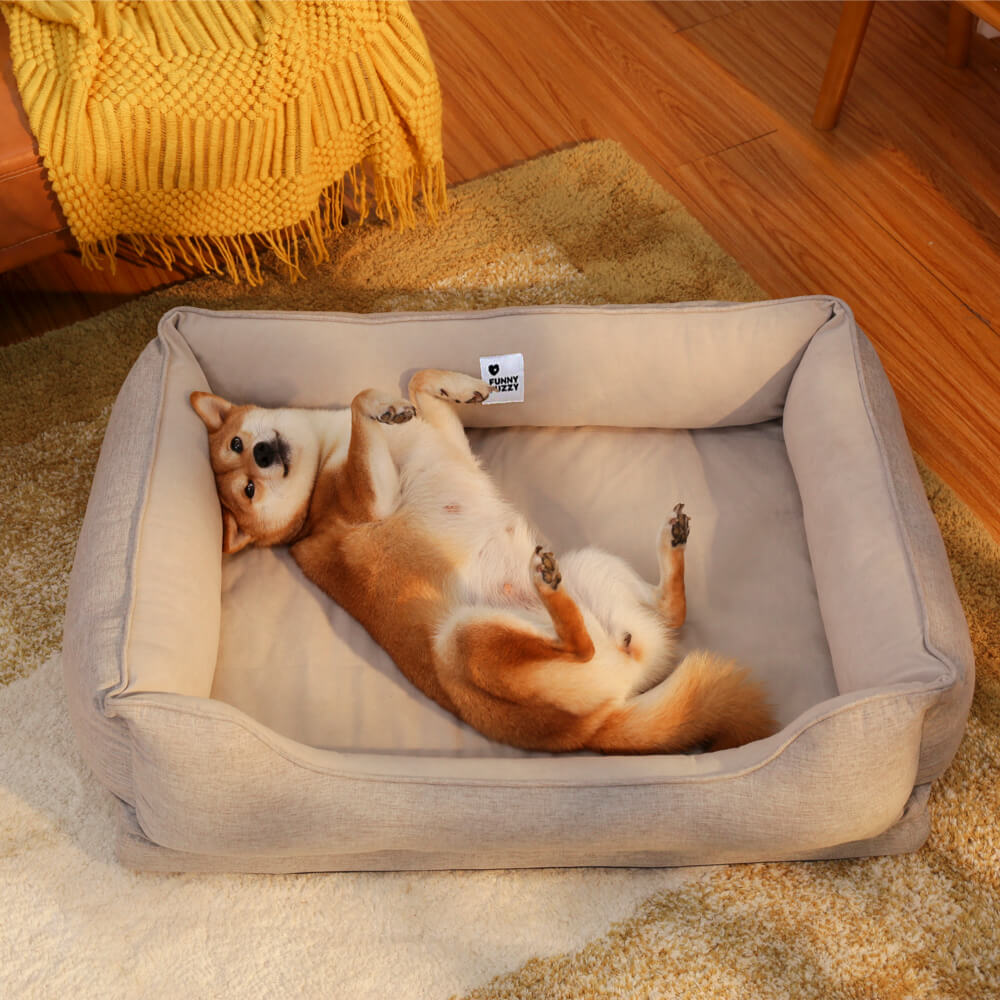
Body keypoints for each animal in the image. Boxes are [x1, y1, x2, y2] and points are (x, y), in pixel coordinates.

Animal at [191, 372, 776, 752]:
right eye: (246, 487)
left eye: (239, 445)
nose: (262, 455)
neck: (317, 472)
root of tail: (594, 727)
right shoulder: (362, 503)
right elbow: (361, 401)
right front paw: (381, 406)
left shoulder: (447, 438)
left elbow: (418, 383)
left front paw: (459, 386)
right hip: (464, 638)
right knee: (580, 645)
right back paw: (550, 592)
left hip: (593, 568)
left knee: (668, 613)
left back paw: (669, 545)